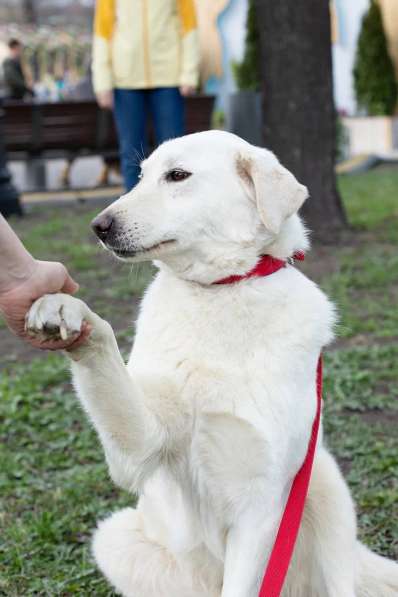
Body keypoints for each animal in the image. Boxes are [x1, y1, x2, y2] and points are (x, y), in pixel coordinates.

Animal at [27, 132, 398, 596]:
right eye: (141, 176)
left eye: (177, 175)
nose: (99, 226)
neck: (221, 291)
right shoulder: (142, 444)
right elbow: (102, 346)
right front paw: (62, 307)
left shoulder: (260, 507)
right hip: (114, 538)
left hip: (325, 486)